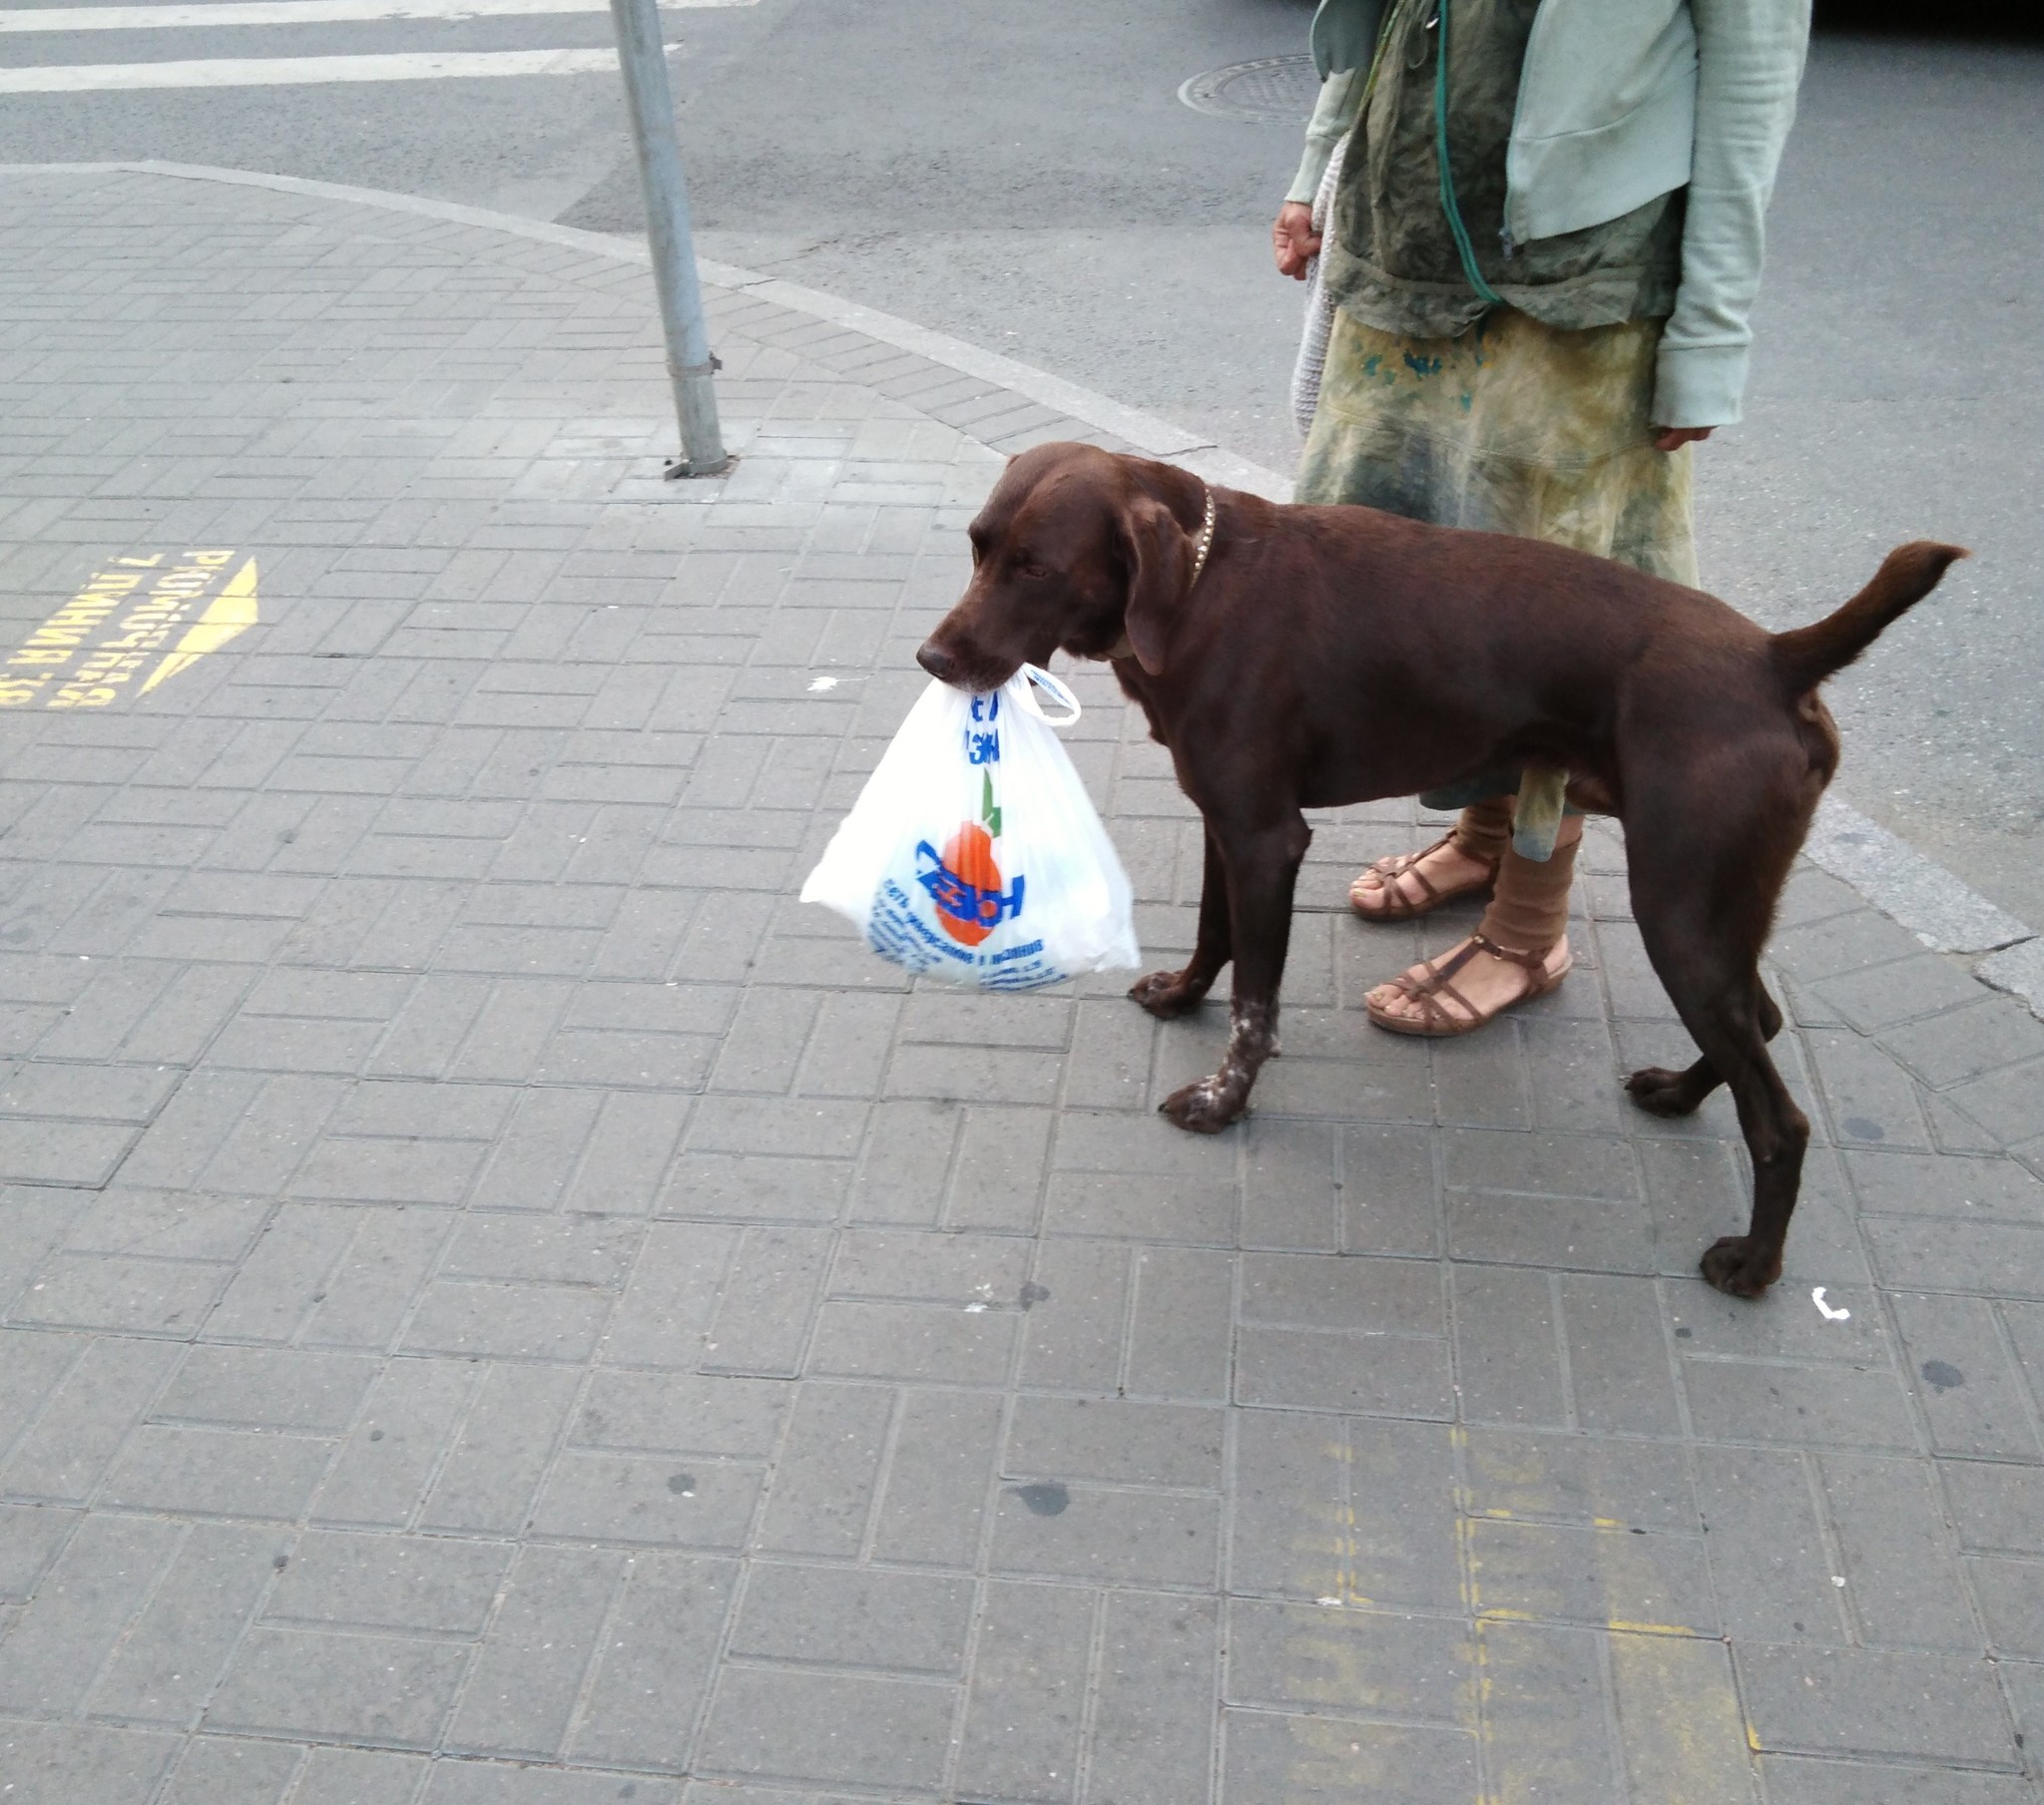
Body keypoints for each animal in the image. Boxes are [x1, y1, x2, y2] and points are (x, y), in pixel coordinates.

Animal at [923, 449, 1962, 1299]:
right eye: (977, 547)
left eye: (1035, 567)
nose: (933, 657)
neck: (1201, 588)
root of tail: (1776, 657)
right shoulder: (1227, 821)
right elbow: (1216, 935)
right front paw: (1182, 994)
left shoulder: (1265, 837)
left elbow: (1258, 1001)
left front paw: (1225, 1101)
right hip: (1715, 909)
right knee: (1764, 1022)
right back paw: (1678, 1091)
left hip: (1679, 906)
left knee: (1780, 1119)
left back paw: (1754, 1262)